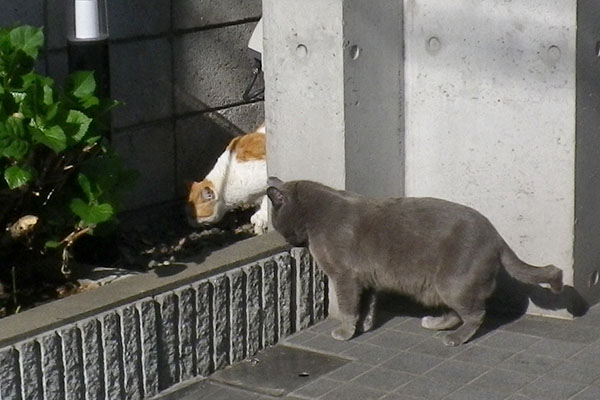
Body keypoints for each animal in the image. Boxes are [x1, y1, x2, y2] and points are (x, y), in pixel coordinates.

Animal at [268, 177, 564, 346]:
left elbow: (349, 307)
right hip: (441, 287)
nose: (286, 239)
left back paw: (454, 339)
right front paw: (364, 326)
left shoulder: (345, 276)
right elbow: (368, 304)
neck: (317, 215)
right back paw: (433, 323)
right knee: (457, 312)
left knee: (476, 313)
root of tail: (498, 238)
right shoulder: (367, 279)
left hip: (451, 282)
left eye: (276, 221)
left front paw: (344, 331)